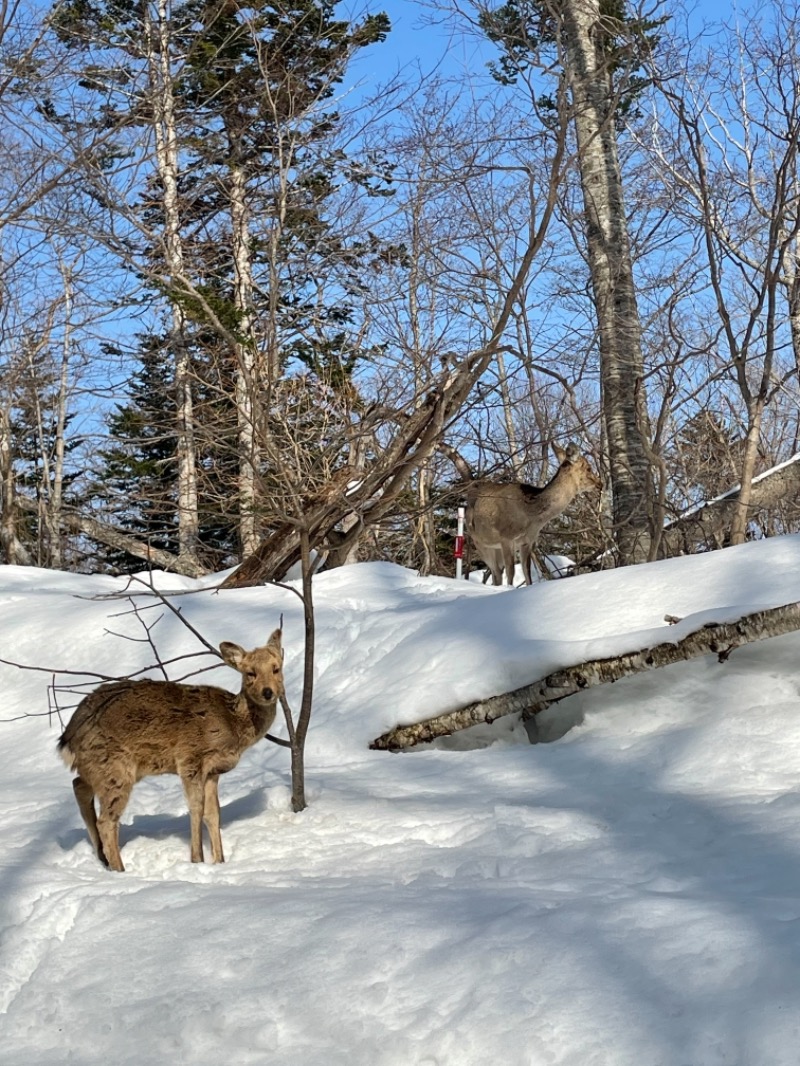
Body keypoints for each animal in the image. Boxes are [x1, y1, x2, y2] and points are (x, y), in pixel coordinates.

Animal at [56, 626, 283, 869]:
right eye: (250, 673)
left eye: (276, 668)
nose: (268, 692)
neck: (233, 725)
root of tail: (69, 736)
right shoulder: (190, 759)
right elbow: (196, 808)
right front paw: (197, 859)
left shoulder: (213, 771)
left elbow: (213, 814)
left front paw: (219, 861)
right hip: (115, 768)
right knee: (106, 820)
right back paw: (119, 869)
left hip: (103, 768)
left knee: (78, 785)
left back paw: (102, 858)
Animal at [462, 443, 601, 592]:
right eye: (588, 468)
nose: (600, 483)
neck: (531, 517)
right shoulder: (506, 537)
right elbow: (511, 571)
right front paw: (510, 589)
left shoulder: (527, 541)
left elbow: (527, 572)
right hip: (479, 542)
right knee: (496, 571)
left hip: (494, 548)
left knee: (497, 572)